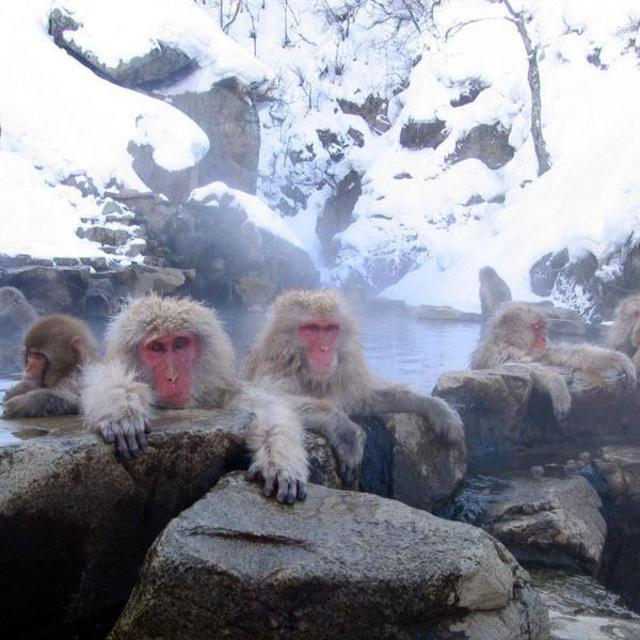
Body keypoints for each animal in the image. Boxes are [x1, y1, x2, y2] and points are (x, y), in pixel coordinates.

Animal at [80, 294, 308, 505]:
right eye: (156, 348)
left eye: (180, 344)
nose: (172, 377)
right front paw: (122, 409)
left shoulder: (226, 394)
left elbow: (268, 409)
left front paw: (280, 463)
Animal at [243, 290, 465, 485]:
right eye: (312, 328)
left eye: (330, 329)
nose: (325, 349)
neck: (311, 376)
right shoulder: (276, 370)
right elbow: (267, 398)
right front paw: (345, 430)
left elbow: (367, 399)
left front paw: (435, 406)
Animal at [470, 303, 637, 421]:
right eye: (536, 327)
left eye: (542, 327)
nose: (544, 338)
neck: (512, 343)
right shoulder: (499, 352)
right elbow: (517, 366)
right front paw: (556, 382)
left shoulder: (542, 351)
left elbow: (567, 354)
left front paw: (619, 359)